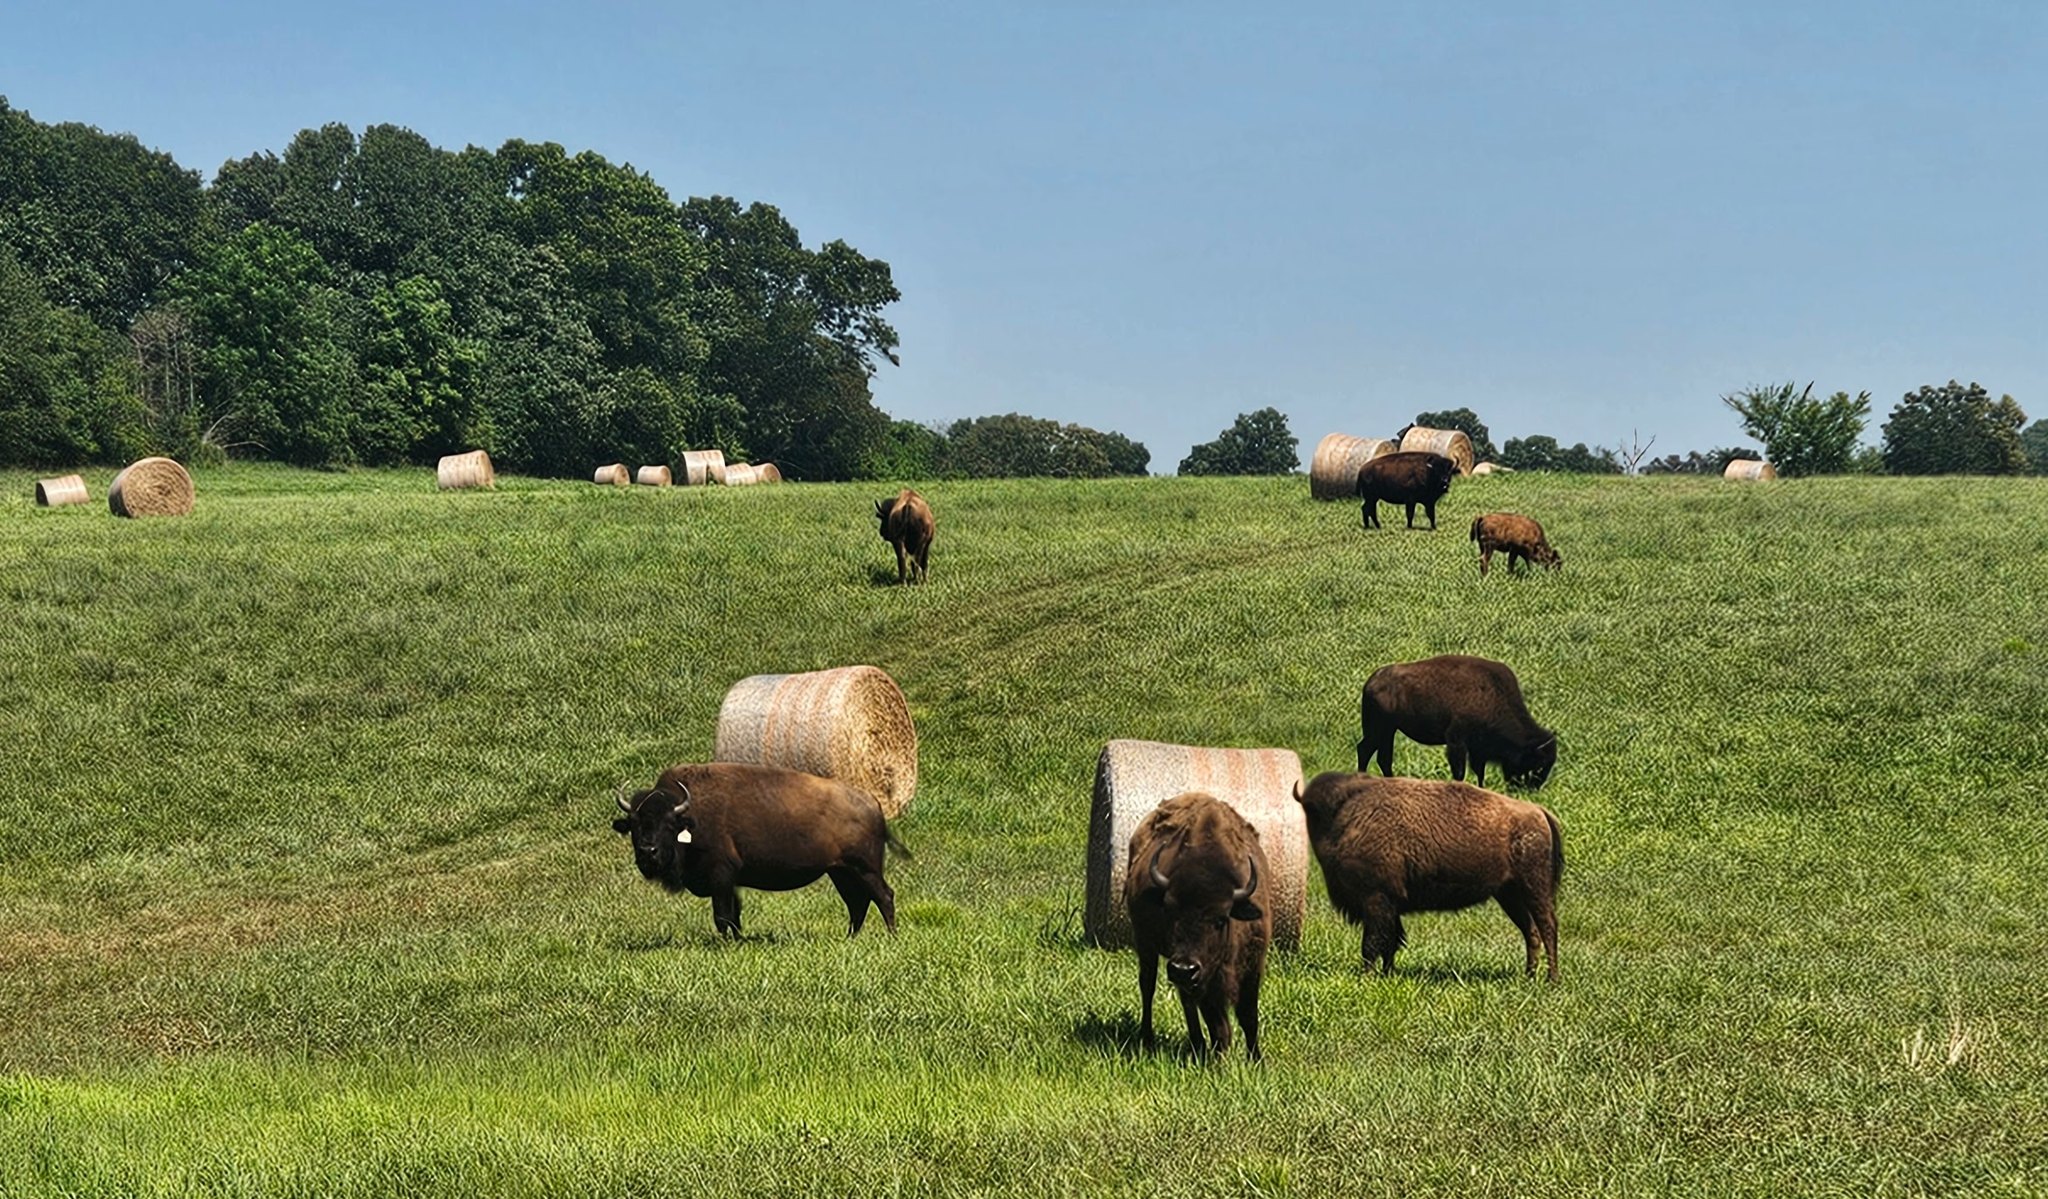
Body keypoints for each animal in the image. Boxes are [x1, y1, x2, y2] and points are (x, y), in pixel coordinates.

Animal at [612, 762, 906, 938]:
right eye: (634, 824)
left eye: (669, 823)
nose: (648, 851)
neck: (690, 815)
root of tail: (872, 804)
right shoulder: (730, 882)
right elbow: (734, 914)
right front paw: (739, 940)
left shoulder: (721, 875)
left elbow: (722, 915)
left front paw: (726, 943)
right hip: (841, 872)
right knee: (858, 903)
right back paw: (850, 938)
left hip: (864, 869)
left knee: (883, 896)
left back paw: (891, 936)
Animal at [1125, 791, 1272, 1061]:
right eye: (1169, 911)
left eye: (1220, 919)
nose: (1184, 968)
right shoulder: (1206, 980)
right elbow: (1219, 1025)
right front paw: (1219, 1060)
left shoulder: (1252, 967)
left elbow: (1248, 1018)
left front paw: (1256, 1060)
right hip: (1146, 945)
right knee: (1148, 986)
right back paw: (1150, 1039)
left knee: (1185, 999)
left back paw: (1197, 1045)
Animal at [1295, 772, 1561, 980]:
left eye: (1316, 813)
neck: (1347, 814)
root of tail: (1538, 812)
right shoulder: (1390, 907)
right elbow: (1391, 943)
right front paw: (1387, 974)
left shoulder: (1375, 900)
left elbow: (1372, 943)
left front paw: (1367, 976)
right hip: (1509, 895)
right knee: (1530, 931)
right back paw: (1529, 976)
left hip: (1533, 888)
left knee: (1547, 926)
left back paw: (1551, 979)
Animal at [1359, 654, 1557, 789]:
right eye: (1538, 765)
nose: (1532, 789)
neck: (1494, 694)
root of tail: (1371, 681)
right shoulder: (1457, 741)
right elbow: (1460, 772)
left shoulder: (1477, 748)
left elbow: (1479, 771)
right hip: (1378, 729)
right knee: (1365, 750)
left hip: (1389, 731)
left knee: (1382, 757)